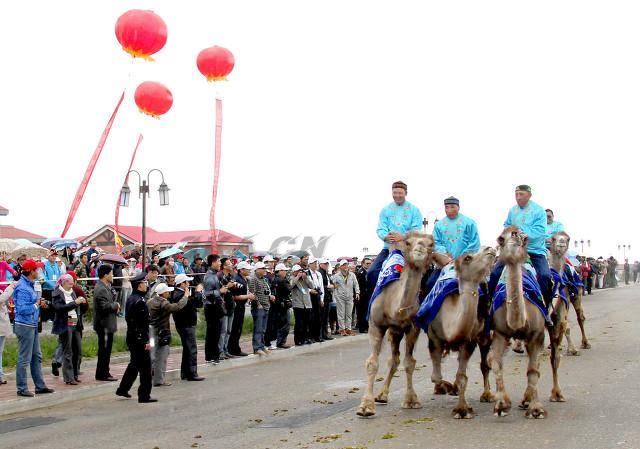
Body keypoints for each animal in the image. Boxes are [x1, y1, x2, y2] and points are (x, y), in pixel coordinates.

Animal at [356, 231, 444, 416]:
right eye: (409, 242)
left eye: (431, 244)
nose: (420, 249)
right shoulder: (375, 325)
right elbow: (372, 363)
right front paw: (366, 406)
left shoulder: (413, 327)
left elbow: (409, 363)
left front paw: (411, 400)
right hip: (392, 331)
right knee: (392, 359)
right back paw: (381, 396)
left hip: (399, 330)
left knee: (395, 359)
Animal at [428, 245, 498, 416]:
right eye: (467, 258)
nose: (489, 248)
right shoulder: (434, 338)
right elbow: (436, 376)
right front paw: (447, 387)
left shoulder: (468, 340)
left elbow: (462, 377)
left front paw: (462, 409)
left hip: (485, 335)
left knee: (484, 364)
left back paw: (487, 395)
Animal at [490, 226, 544, 418]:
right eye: (502, 237)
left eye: (519, 233)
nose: (522, 238)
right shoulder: (500, 333)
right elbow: (496, 364)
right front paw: (501, 405)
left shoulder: (537, 334)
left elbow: (533, 370)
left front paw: (536, 409)